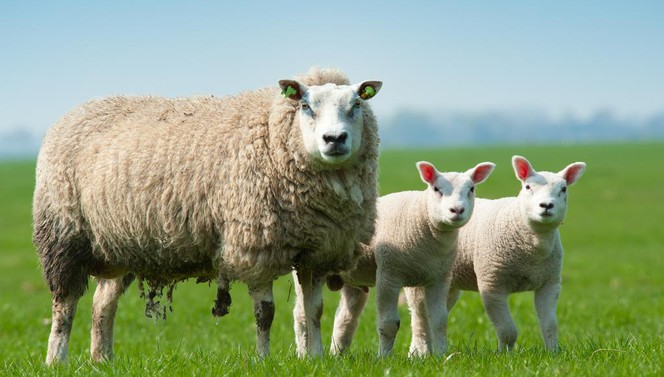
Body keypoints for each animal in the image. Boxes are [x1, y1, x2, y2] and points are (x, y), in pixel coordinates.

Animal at [32, 66, 384, 362]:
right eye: (306, 107)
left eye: (355, 105)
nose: (334, 139)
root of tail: (75, 111)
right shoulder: (255, 247)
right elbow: (265, 313)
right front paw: (263, 359)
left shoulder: (318, 252)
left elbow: (314, 311)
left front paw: (316, 359)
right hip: (64, 234)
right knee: (64, 304)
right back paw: (56, 360)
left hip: (121, 244)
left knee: (102, 305)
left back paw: (102, 359)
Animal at [330, 160, 496, 354]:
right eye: (436, 189)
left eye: (471, 189)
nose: (457, 210)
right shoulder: (388, 274)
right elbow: (388, 323)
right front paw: (384, 357)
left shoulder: (439, 279)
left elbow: (439, 320)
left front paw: (442, 355)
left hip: (354, 281)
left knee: (344, 318)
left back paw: (336, 354)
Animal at [436, 154, 588, 352]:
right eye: (528, 187)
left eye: (563, 189)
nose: (546, 205)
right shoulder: (492, 283)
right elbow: (507, 329)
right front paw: (503, 354)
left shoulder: (550, 283)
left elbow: (550, 325)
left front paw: (553, 352)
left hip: (450, 283)